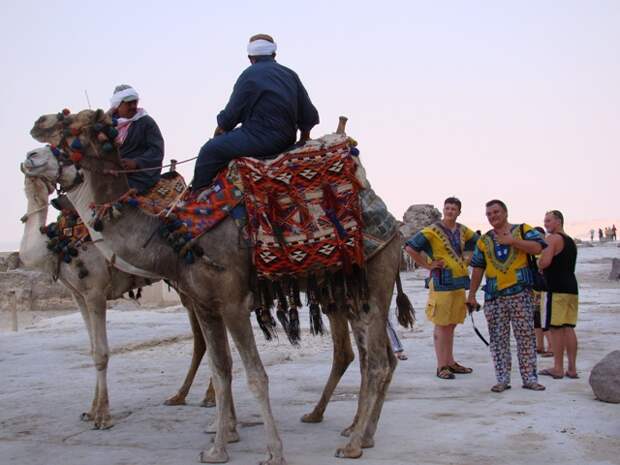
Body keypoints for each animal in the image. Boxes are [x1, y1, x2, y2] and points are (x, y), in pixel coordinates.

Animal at [31, 108, 404, 460]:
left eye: (72, 126)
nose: (32, 147)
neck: (171, 236)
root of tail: (391, 224)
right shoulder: (204, 304)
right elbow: (221, 370)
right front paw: (217, 448)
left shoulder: (233, 302)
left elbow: (255, 375)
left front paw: (273, 452)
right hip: (348, 291)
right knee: (375, 356)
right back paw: (360, 432)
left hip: (375, 279)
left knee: (376, 361)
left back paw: (352, 443)